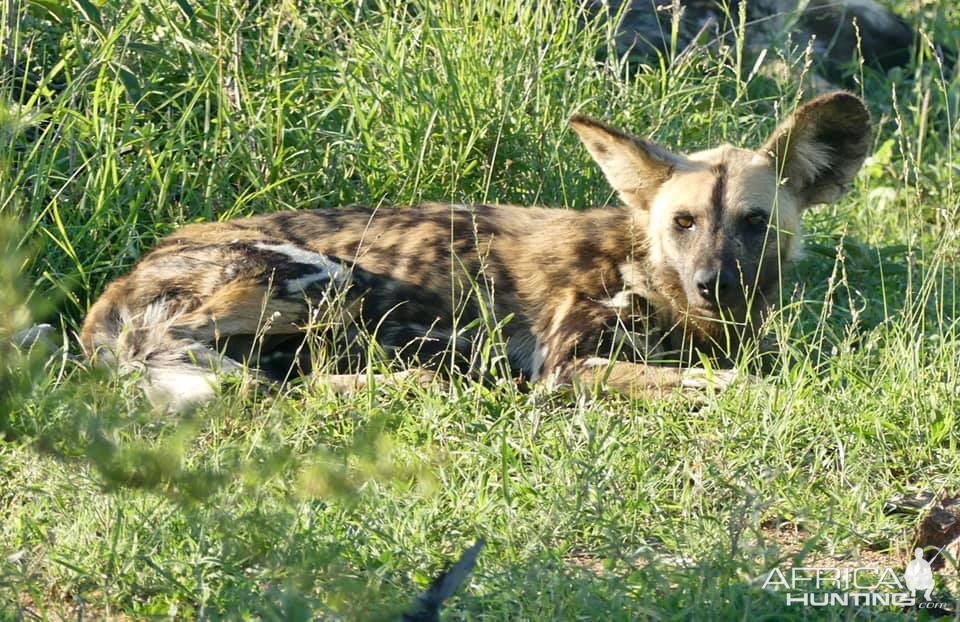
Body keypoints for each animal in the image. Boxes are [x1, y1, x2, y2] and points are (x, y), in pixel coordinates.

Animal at [80, 90, 872, 412]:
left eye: (753, 222)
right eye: (683, 221)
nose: (713, 282)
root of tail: (118, 285)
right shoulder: (566, 366)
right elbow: (735, 383)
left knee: (285, 380)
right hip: (319, 278)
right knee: (251, 380)